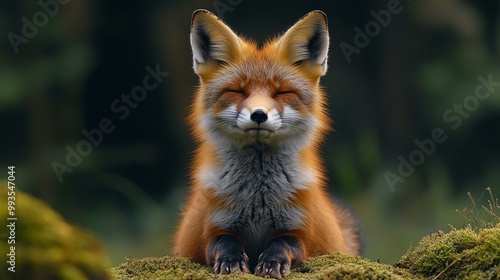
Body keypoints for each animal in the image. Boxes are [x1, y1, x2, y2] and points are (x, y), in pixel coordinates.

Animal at [174, 8, 362, 278]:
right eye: (237, 91)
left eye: (281, 93)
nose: (259, 115)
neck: (258, 198)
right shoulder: (212, 228)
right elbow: (224, 242)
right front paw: (232, 261)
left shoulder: (301, 230)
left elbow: (283, 243)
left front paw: (272, 262)